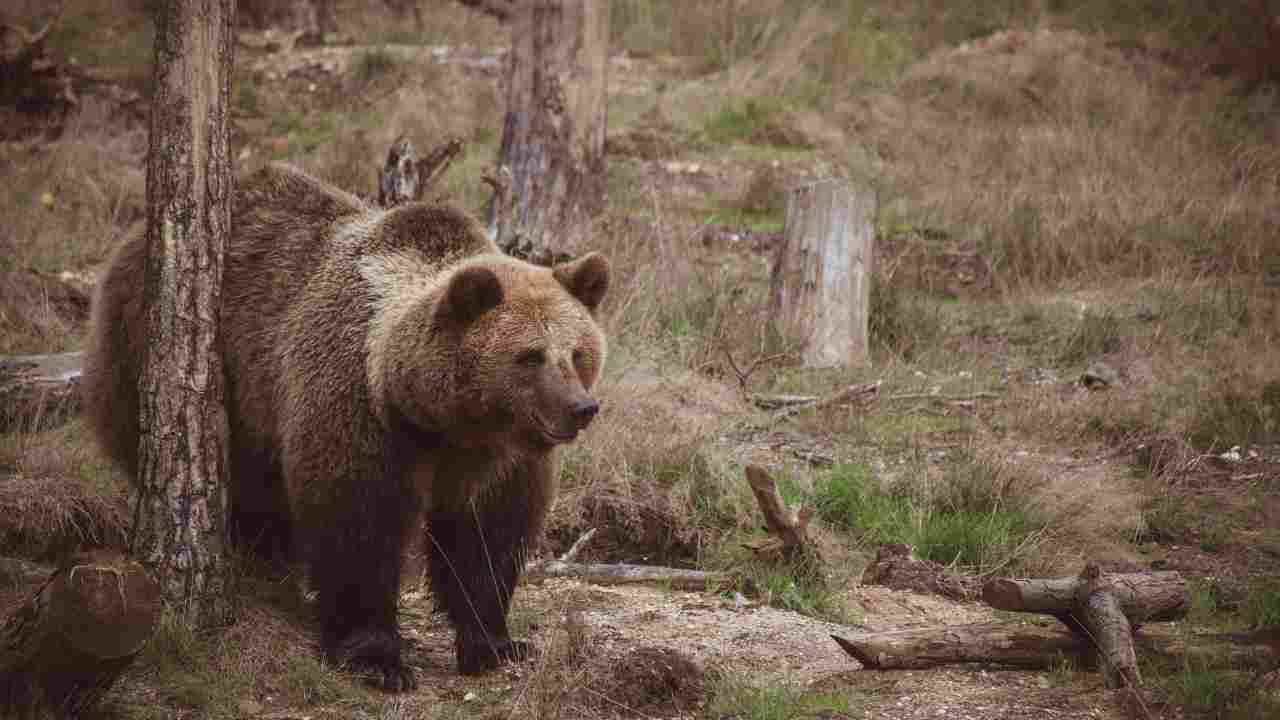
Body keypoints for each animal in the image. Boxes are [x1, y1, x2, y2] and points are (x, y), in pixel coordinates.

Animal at [83, 162, 609, 691]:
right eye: (530, 356)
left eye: (577, 352)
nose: (581, 407)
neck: (440, 419)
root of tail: (133, 237)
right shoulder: (358, 409)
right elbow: (356, 523)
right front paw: (375, 656)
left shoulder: (497, 459)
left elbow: (487, 538)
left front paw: (496, 643)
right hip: (170, 358)